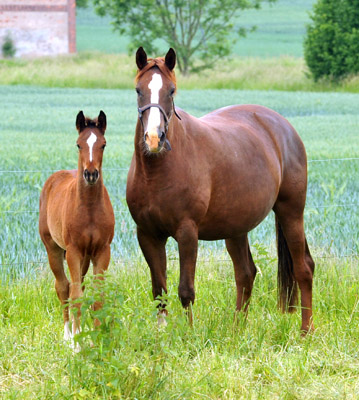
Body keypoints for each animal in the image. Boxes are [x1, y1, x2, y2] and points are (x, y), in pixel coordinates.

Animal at [38, 110, 114, 346]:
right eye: (79, 144)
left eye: (103, 144)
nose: (90, 175)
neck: (89, 209)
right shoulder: (73, 251)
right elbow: (75, 296)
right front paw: (77, 344)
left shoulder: (101, 251)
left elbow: (96, 296)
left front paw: (95, 339)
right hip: (54, 249)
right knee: (64, 287)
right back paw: (68, 334)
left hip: (85, 258)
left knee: (77, 285)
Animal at [126, 47, 316, 332]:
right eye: (139, 90)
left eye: (171, 91)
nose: (154, 138)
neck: (157, 173)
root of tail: (283, 127)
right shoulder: (148, 234)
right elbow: (159, 291)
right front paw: (161, 334)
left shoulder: (187, 232)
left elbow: (185, 290)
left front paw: (190, 334)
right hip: (236, 227)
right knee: (246, 273)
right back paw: (237, 330)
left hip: (290, 211)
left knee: (303, 268)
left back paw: (306, 331)